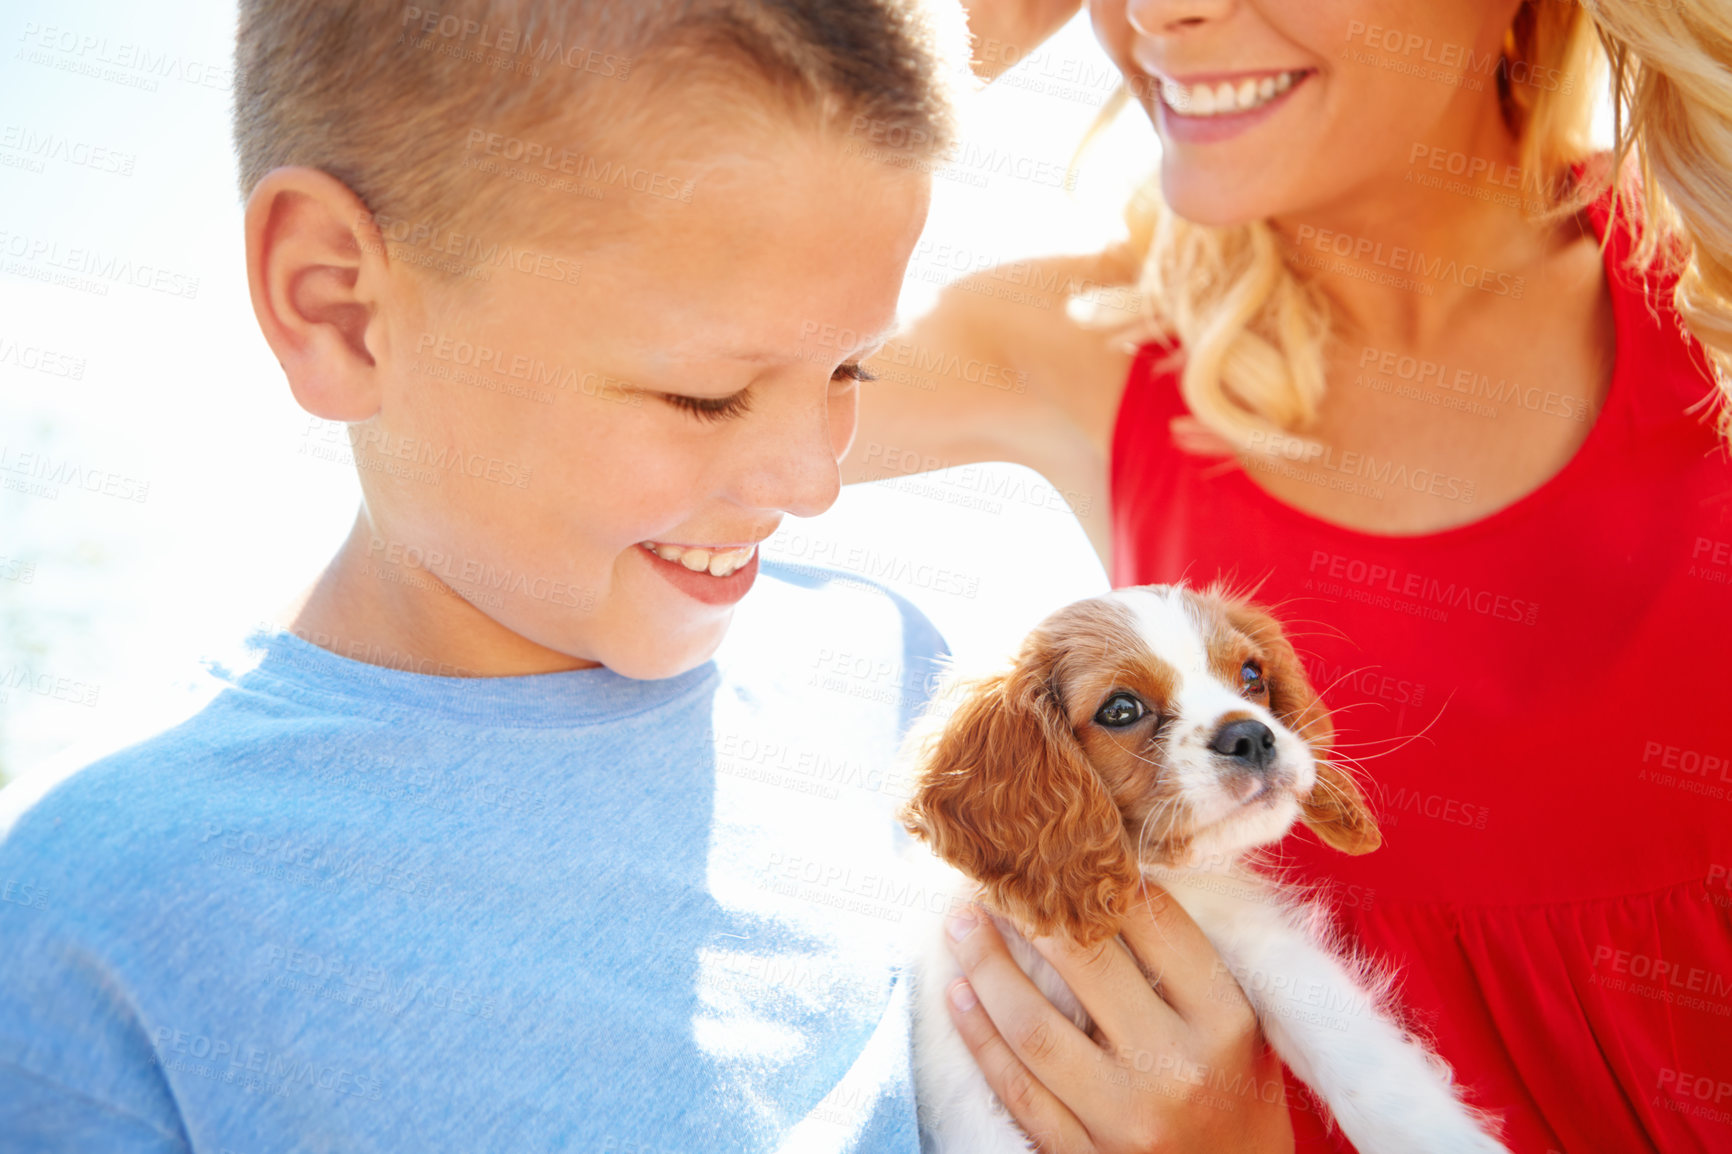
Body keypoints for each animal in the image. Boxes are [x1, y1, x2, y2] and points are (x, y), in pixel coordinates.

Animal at [900, 585, 1510, 1150]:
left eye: (1252, 674)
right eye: (1120, 710)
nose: (1251, 735)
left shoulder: (1248, 937)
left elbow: (1352, 1051)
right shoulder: (961, 1068)